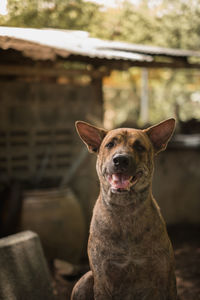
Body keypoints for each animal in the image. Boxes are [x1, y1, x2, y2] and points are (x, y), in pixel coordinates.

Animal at [71, 119, 177, 300]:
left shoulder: (165, 279)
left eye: (139, 146)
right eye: (110, 144)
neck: (125, 210)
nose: (120, 160)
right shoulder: (103, 280)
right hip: (85, 280)